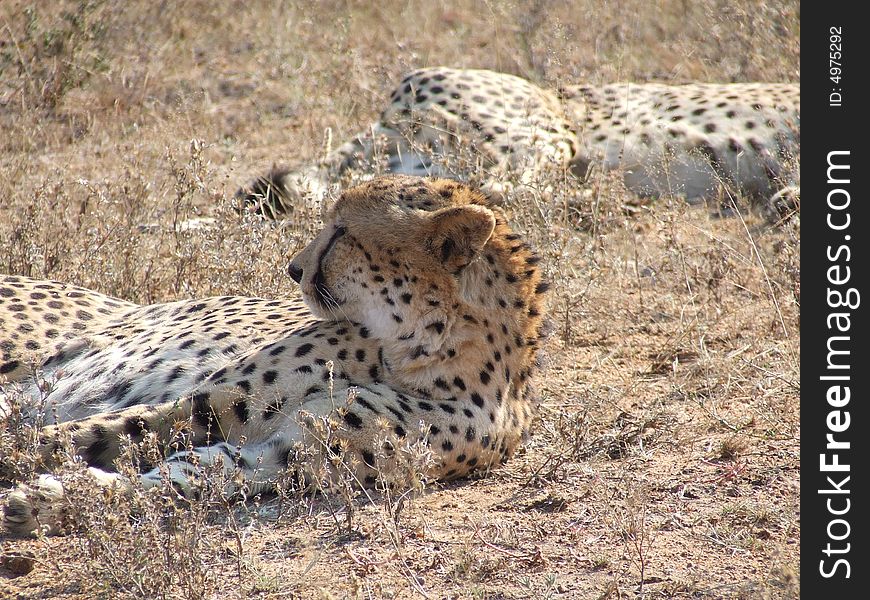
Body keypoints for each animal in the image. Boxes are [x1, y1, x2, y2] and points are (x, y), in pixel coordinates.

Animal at [0, 176, 548, 536]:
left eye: (342, 232)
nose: (293, 268)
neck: (415, 351)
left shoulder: (286, 457)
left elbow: (182, 477)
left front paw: (52, 500)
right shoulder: (203, 405)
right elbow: (73, 434)